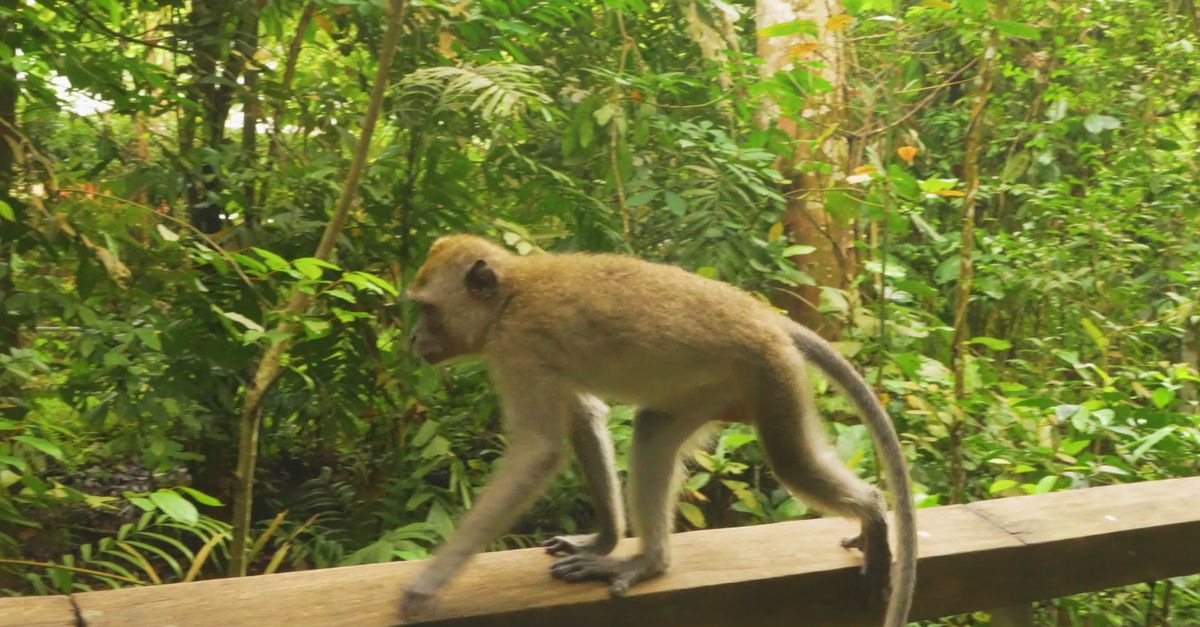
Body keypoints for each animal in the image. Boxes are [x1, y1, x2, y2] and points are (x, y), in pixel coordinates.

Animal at [400, 234, 917, 627]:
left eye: (427, 310)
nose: (413, 339)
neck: (510, 297)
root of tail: (763, 316)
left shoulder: (519, 348)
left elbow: (538, 453)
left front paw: (425, 585)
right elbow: (585, 416)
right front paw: (603, 541)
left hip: (771, 376)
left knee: (792, 464)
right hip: (718, 389)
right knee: (653, 431)